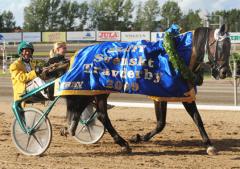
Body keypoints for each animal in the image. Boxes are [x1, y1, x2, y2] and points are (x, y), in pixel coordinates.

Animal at [60, 24, 231, 155]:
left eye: (230, 47)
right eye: (221, 46)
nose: (224, 72)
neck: (177, 57)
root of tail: (80, 52)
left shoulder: (179, 94)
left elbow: (194, 119)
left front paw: (209, 145)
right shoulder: (161, 94)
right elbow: (162, 123)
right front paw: (138, 138)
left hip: (95, 89)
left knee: (91, 111)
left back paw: (73, 128)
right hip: (95, 88)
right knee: (100, 114)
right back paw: (121, 142)